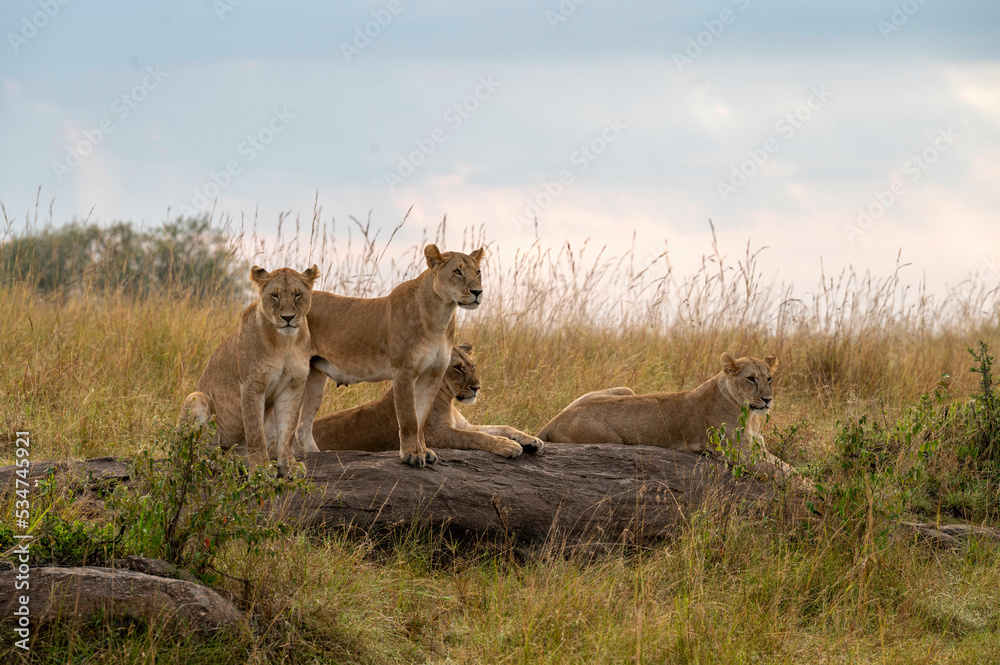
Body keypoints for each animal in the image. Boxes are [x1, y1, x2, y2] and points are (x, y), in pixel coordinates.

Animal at [178, 264, 319, 473]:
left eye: (297, 294)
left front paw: (289, 465)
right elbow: (255, 433)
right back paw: (217, 463)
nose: (288, 317)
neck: (285, 343)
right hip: (197, 398)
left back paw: (237, 461)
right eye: (274, 295)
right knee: (191, 456)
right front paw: (261, 468)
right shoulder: (252, 386)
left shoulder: (293, 386)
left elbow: (288, 430)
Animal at [296, 244, 484, 468]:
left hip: (315, 376)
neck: (440, 316)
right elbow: (409, 419)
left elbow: (422, 419)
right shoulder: (404, 371)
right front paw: (412, 454)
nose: (478, 292)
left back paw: (317, 455)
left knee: (302, 426)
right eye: (457, 272)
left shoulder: (433, 375)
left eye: (478, 272)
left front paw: (424, 451)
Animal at [313, 343, 544, 457]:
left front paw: (532, 440)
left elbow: (500, 427)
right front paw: (508, 446)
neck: (448, 399)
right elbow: (476, 436)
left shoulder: (463, 424)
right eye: (457, 368)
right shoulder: (435, 434)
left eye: (473, 366)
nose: (477, 388)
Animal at [538, 353, 808, 488]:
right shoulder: (738, 453)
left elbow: (788, 467)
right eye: (751, 379)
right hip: (610, 438)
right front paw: (814, 493)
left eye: (769, 378)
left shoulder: (756, 448)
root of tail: (553, 421)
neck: (749, 414)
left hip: (626, 389)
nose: (768, 399)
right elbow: (785, 472)